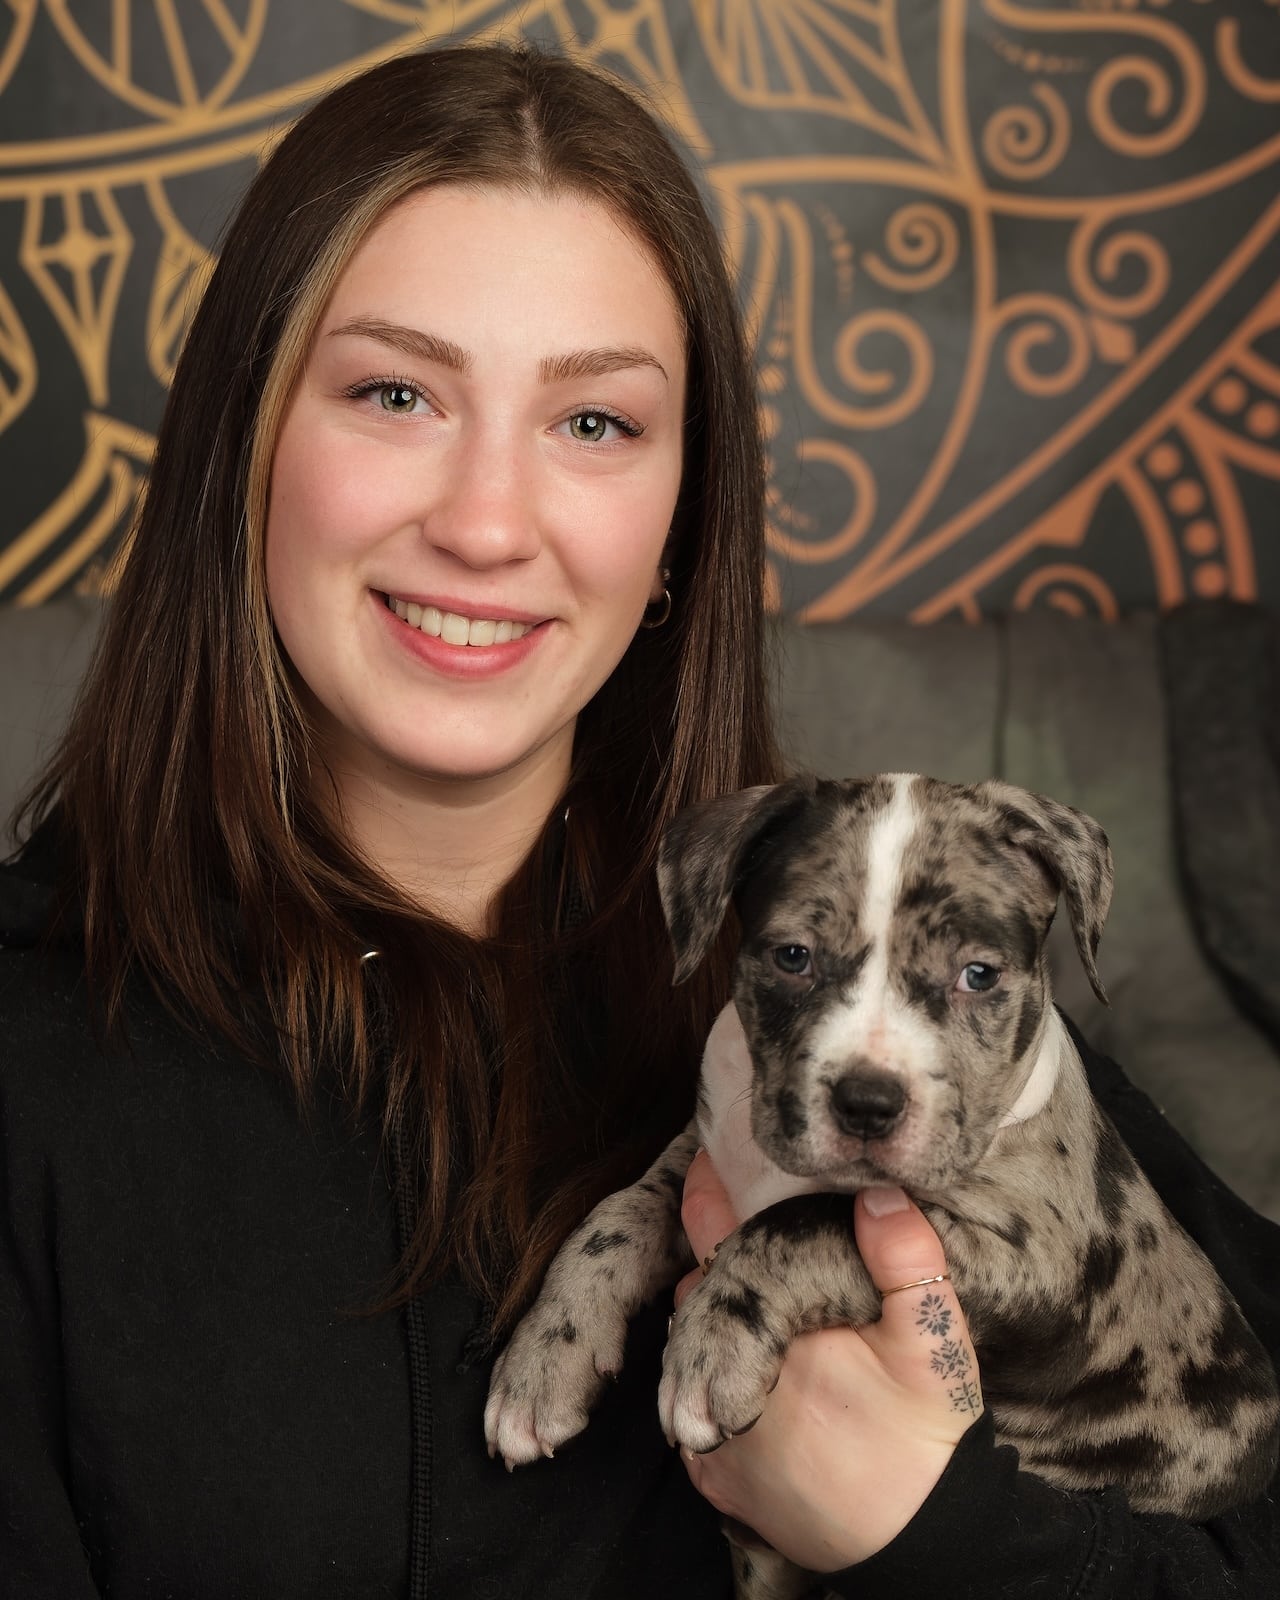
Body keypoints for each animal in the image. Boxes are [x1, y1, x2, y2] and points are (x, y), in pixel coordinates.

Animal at [483, 771, 1280, 1587]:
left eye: (978, 975)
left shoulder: (1027, 1256)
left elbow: (798, 1223)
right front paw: (543, 1358)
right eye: (793, 956)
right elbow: (617, 1217)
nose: (868, 1102)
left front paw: (712, 1343)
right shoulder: (702, 1153)